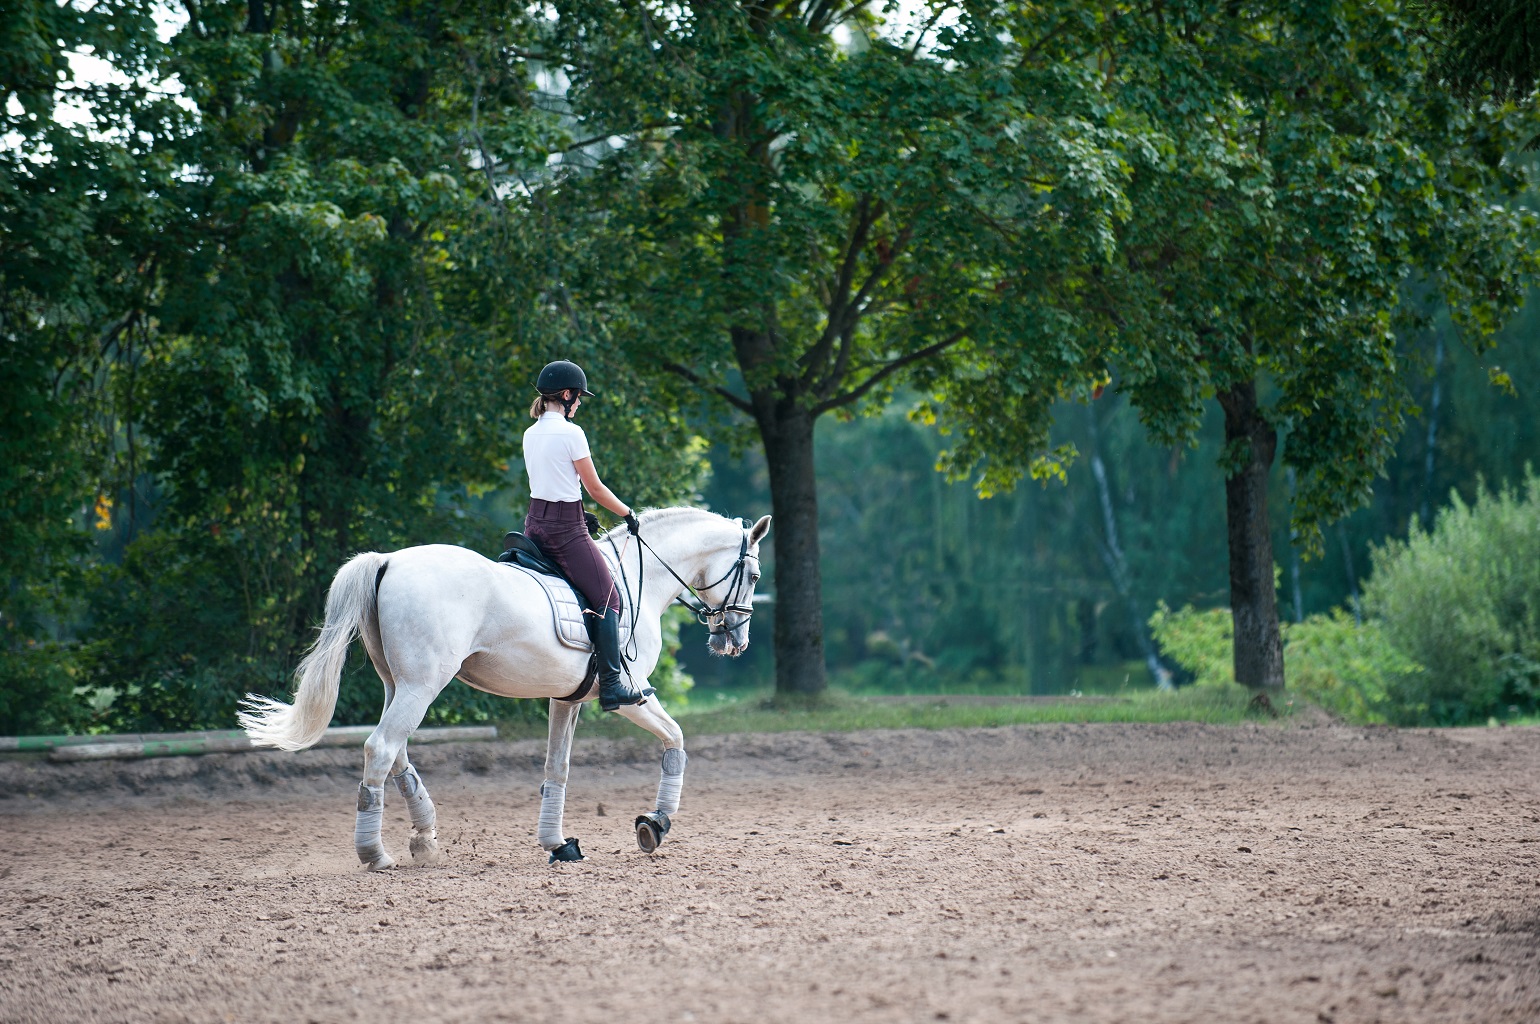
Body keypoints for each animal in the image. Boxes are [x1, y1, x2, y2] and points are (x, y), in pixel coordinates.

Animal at [237, 507, 771, 869]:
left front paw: (558, 844)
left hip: (398, 684)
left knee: (396, 752)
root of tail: (387, 561)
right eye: (755, 574)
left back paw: (425, 839)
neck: (641, 577)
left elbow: (557, 768)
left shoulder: (565, 700)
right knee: (382, 748)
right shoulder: (632, 695)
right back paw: (375, 852)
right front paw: (654, 824)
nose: (735, 640)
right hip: (421, 686)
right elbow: (675, 738)